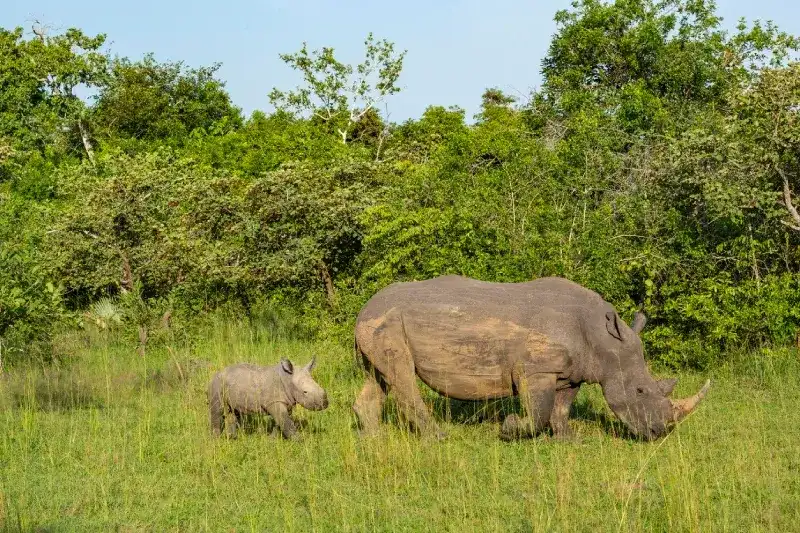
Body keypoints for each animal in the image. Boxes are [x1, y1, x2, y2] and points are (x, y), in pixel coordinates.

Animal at [352, 275, 710, 441]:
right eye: (639, 390)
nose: (659, 433)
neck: (601, 339)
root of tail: (363, 309)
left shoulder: (572, 372)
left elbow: (561, 408)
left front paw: (568, 440)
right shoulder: (537, 369)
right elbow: (538, 412)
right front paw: (509, 429)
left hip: (378, 326)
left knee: (378, 377)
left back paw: (373, 437)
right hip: (387, 323)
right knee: (400, 376)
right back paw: (438, 437)